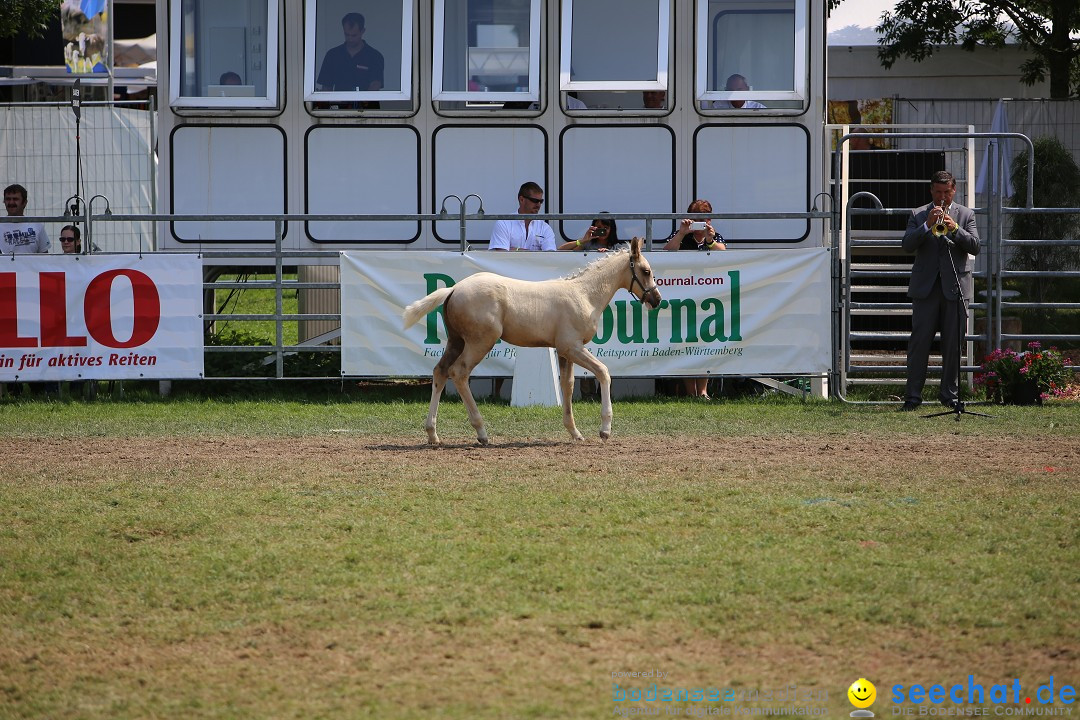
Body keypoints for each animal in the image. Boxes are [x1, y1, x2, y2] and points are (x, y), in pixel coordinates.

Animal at [403, 237, 660, 444]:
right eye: (646, 271)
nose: (656, 300)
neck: (584, 294)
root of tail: (454, 289)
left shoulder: (564, 352)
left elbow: (568, 386)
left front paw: (575, 432)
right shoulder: (572, 347)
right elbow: (603, 372)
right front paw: (605, 430)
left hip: (456, 341)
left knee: (440, 372)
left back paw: (433, 434)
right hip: (479, 343)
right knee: (459, 372)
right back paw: (481, 432)